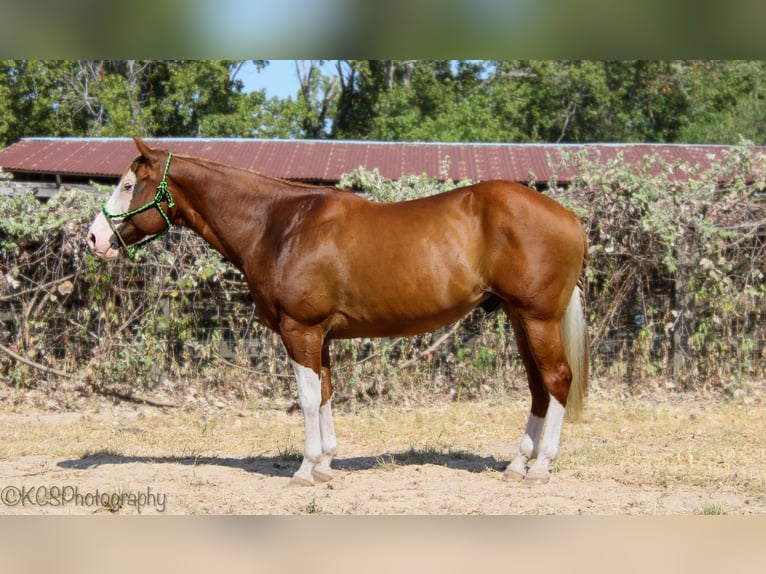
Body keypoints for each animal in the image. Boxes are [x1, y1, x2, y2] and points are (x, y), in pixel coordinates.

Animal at [87, 137, 592, 488]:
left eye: (129, 185)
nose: (94, 239)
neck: (278, 224)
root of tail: (569, 217)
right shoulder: (320, 336)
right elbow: (326, 392)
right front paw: (327, 464)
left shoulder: (300, 331)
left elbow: (309, 398)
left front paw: (305, 469)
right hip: (519, 319)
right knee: (538, 387)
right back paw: (517, 464)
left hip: (537, 319)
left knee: (557, 379)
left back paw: (541, 468)